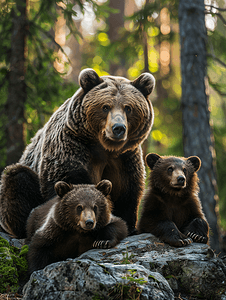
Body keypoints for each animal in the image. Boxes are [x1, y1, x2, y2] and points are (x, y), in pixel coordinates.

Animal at [0, 68, 155, 237]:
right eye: (105, 107)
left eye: (128, 108)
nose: (118, 128)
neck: (104, 148)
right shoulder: (70, 145)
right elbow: (69, 184)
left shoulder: (125, 157)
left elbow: (127, 191)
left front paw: (130, 228)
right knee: (17, 177)